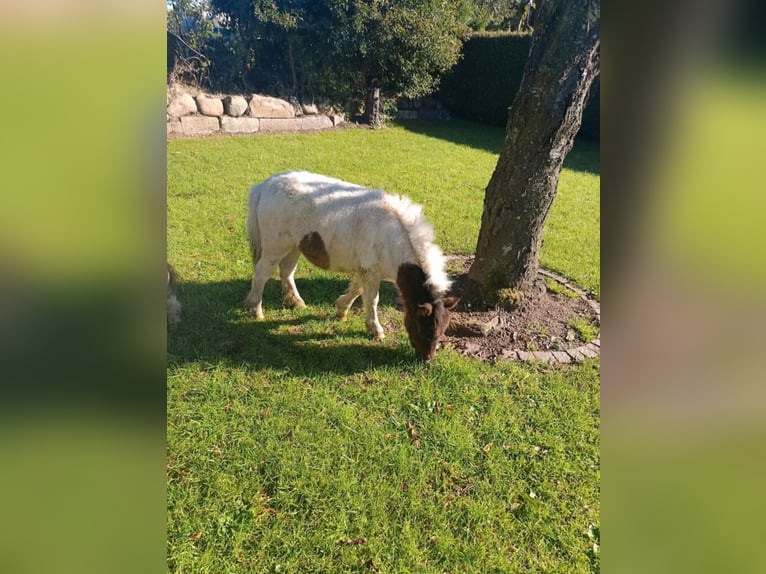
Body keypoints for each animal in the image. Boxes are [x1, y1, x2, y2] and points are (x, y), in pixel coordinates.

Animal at [246, 171, 462, 362]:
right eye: (423, 328)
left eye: (441, 331)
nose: (427, 359)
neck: (392, 238)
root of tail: (265, 186)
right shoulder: (371, 273)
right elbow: (371, 300)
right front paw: (376, 330)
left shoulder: (367, 271)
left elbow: (356, 291)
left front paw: (341, 310)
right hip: (275, 247)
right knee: (262, 274)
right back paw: (256, 311)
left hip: (294, 246)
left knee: (287, 271)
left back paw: (296, 302)